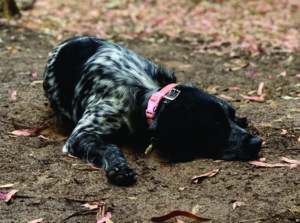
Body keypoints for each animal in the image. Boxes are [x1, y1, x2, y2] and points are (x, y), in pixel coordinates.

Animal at [43, 37, 262, 186]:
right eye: (215, 123)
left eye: (230, 116)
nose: (257, 142)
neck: (149, 94)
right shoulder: (81, 135)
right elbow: (110, 147)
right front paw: (119, 168)